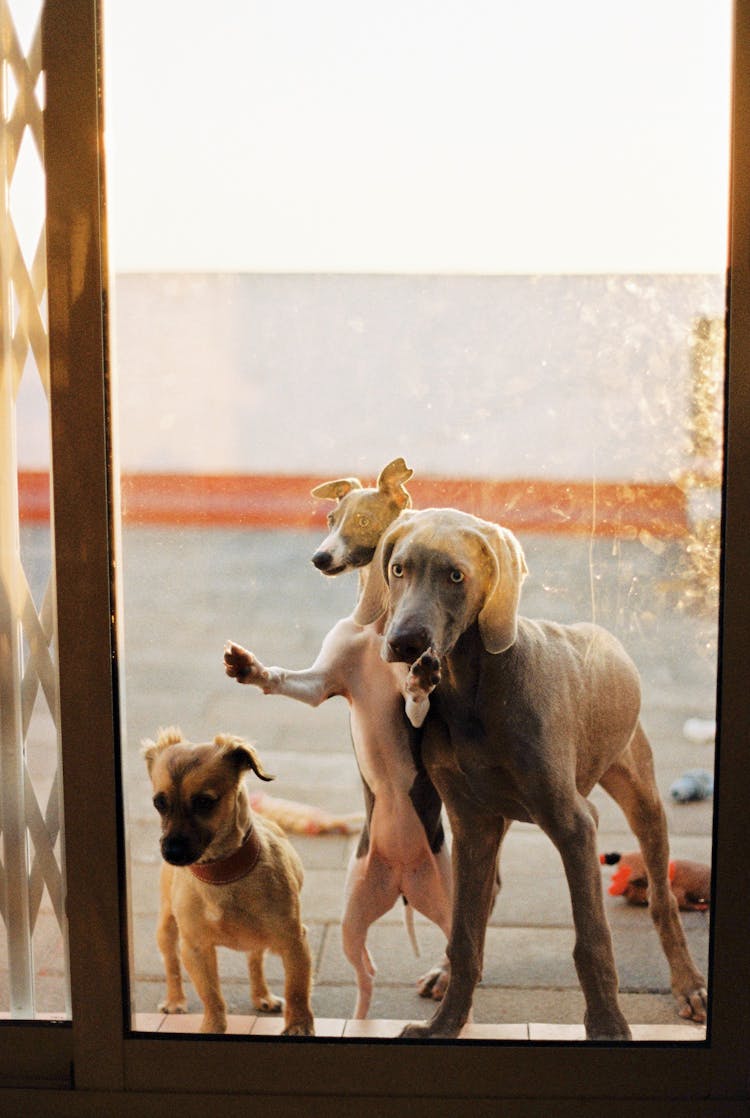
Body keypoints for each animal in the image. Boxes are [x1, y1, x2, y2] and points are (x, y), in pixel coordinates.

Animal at [143, 728, 312, 1033]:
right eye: (158, 803)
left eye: (204, 802)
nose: (171, 851)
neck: (221, 874)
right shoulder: (195, 949)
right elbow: (211, 996)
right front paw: (212, 1027)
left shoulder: (293, 941)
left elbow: (297, 988)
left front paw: (298, 1026)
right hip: (167, 928)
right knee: (172, 966)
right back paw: (174, 1000)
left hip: (260, 937)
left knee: (255, 961)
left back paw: (262, 996)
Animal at [225, 458, 453, 1019]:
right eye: (331, 517)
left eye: (366, 522)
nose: (320, 558)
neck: (376, 624)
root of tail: (404, 882)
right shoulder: (321, 685)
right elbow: (285, 680)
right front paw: (250, 668)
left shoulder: (418, 712)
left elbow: (415, 703)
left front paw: (420, 680)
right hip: (354, 913)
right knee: (365, 973)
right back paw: (359, 1018)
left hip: (449, 903)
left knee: (464, 960)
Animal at [357, 512, 710, 1041]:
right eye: (398, 569)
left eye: (456, 576)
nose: (403, 643)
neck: (472, 692)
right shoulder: (472, 822)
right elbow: (465, 934)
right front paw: (446, 1024)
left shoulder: (573, 825)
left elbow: (592, 940)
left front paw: (607, 1027)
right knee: (483, 901)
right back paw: (443, 973)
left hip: (640, 791)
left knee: (663, 899)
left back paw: (689, 985)